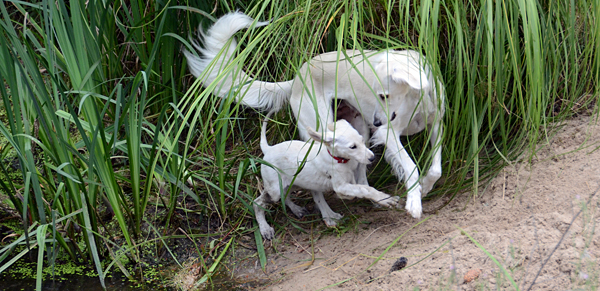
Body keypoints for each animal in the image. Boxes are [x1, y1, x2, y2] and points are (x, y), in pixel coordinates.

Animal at [186, 12, 446, 219]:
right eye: (377, 94)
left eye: (384, 95)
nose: (376, 122)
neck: (416, 99)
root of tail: (296, 79)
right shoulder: (388, 134)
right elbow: (410, 167)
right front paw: (414, 202)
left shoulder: (436, 124)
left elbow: (436, 169)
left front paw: (425, 186)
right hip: (327, 130)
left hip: (356, 130)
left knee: (360, 173)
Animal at [254, 113, 398, 241]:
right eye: (352, 147)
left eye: (362, 140)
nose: (372, 158)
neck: (340, 160)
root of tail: (268, 149)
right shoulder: (341, 186)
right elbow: (365, 189)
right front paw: (384, 199)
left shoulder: (350, 178)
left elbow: (361, 188)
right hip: (275, 190)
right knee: (258, 203)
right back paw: (265, 229)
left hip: (293, 183)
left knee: (286, 196)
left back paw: (297, 210)